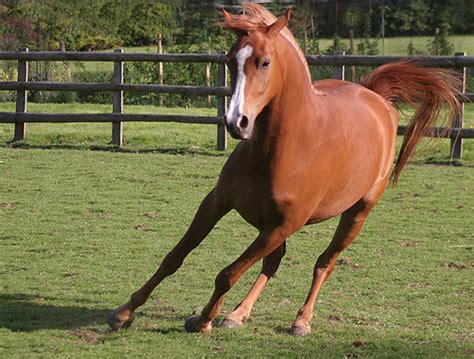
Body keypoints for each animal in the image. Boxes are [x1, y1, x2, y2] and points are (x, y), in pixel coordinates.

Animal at [107, 4, 460, 336]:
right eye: (229, 60)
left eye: (264, 62)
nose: (236, 122)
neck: (281, 149)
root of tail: (376, 96)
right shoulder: (218, 203)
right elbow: (175, 257)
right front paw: (125, 312)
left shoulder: (283, 225)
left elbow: (227, 274)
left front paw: (204, 320)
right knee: (273, 263)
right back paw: (237, 314)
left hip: (356, 213)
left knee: (324, 263)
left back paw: (301, 320)